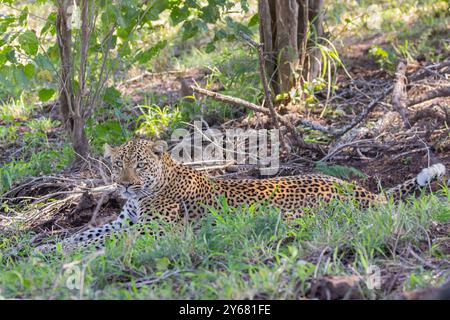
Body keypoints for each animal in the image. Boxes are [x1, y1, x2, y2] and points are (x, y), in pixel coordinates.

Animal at [36, 139, 446, 254]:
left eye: (139, 164)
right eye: (117, 165)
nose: (125, 185)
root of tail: (362, 190)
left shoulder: (154, 231)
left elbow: (106, 242)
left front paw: (76, 255)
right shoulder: (127, 221)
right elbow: (86, 233)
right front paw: (48, 249)